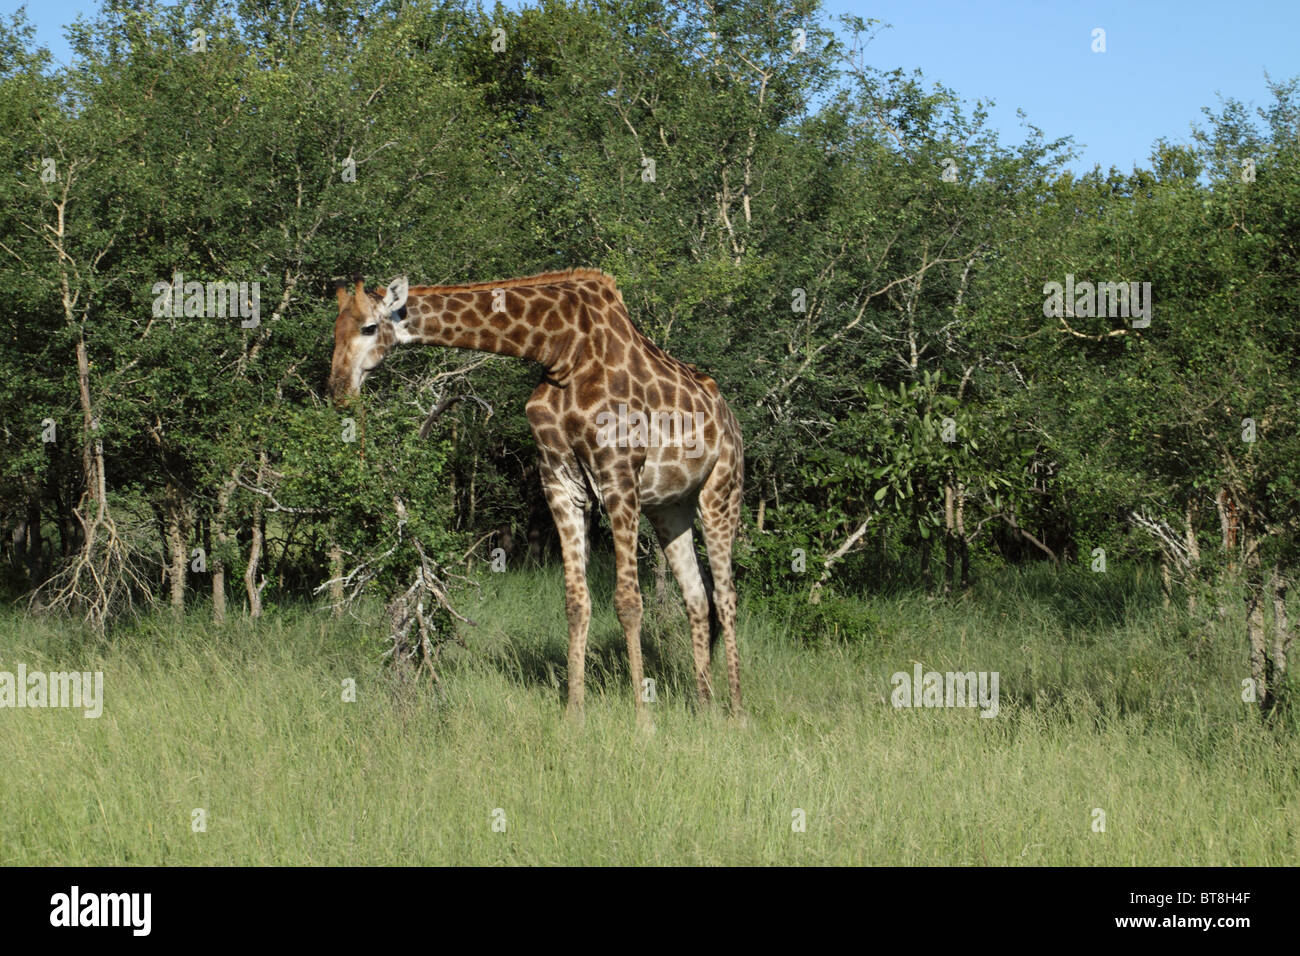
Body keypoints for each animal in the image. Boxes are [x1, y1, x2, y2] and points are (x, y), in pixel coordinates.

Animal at [330, 269, 748, 717]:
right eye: (334, 330)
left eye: (369, 327)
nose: (337, 390)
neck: (560, 350)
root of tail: (731, 418)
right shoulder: (560, 481)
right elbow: (576, 602)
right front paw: (574, 714)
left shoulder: (618, 473)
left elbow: (628, 602)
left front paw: (643, 720)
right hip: (671, 507)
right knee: (697, 596)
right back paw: (705, 707)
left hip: (722, 490)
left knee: (726, 595)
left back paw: (737, 714)